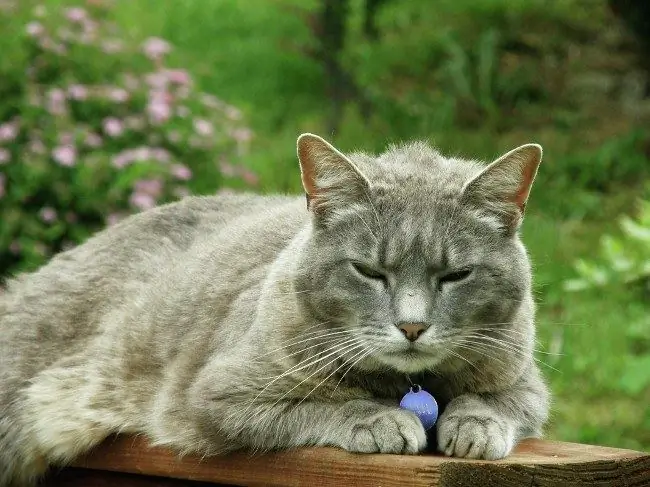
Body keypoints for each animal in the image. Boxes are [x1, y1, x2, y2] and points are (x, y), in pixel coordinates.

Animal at [0, 132, 548, 484]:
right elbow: (323, 405)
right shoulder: (218, 395)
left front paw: (474, 426)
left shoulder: (525, 379)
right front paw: (379, 419)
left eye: (456, 275)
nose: (412, 326)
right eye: (368, 271)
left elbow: (501, 402)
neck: (408, 385)